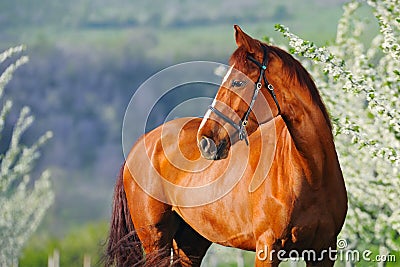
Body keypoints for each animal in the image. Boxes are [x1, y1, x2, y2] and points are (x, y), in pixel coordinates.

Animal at [105, 24, 346, 266]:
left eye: (238, 82)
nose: (205, 141)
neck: (311, 173)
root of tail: (140, 145)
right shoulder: (267, 248)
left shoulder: (323, 251)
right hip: (156, 242)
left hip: (191, 241)